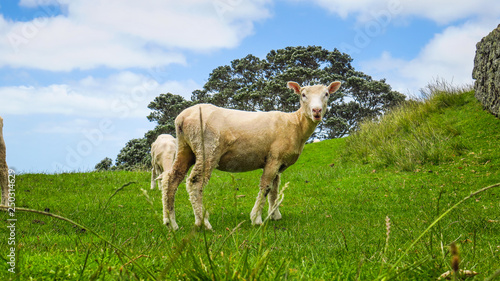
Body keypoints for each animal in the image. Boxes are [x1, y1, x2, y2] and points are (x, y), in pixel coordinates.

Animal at [162, 80, 342, 229]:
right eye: (303, 95)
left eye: (326, 94)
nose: (316, 110)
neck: (295, 124)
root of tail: (182, 118)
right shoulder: (274, 158)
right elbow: (266, 187)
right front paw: (256, 218)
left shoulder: (279, 161)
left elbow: (275, 189)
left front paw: (275, 214)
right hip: (208, 149)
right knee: (195, 182)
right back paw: (203, 222)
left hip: (186, 148)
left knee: (171, 180)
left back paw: (171, 222)